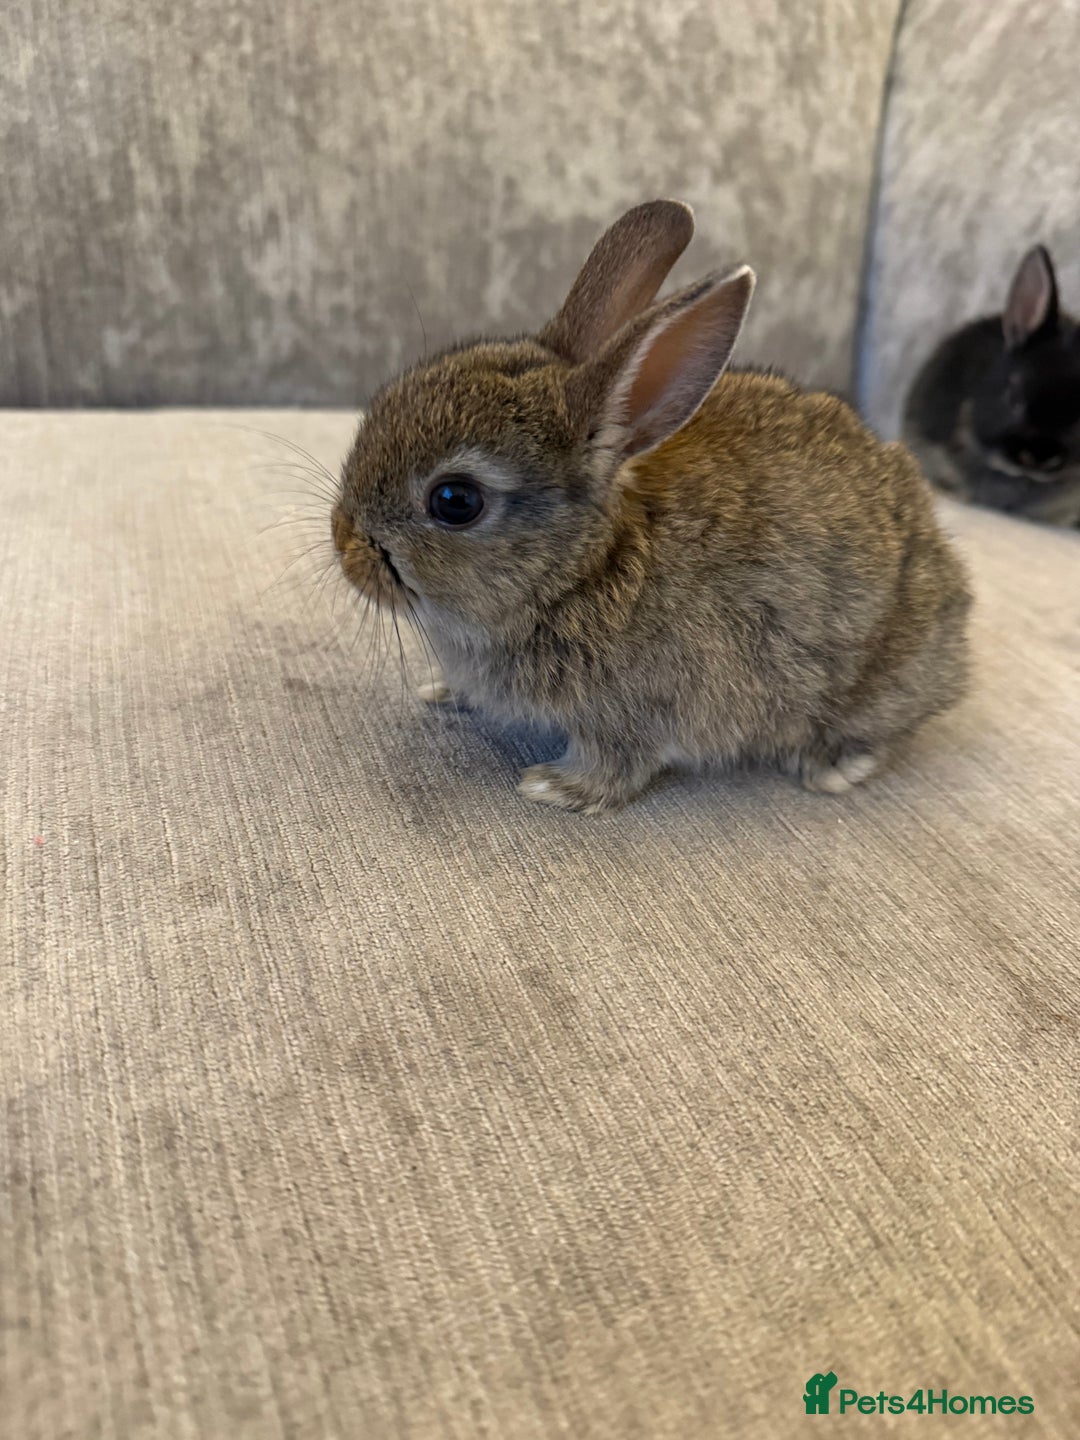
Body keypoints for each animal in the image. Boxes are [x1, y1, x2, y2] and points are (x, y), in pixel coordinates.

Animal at [332, 200, 971, 813]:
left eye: (455, 501)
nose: (344, 549)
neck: (582, 569)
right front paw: (442, 692)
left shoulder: (636, 709)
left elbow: (616, 761)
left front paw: (556, 788)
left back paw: (834, 766)